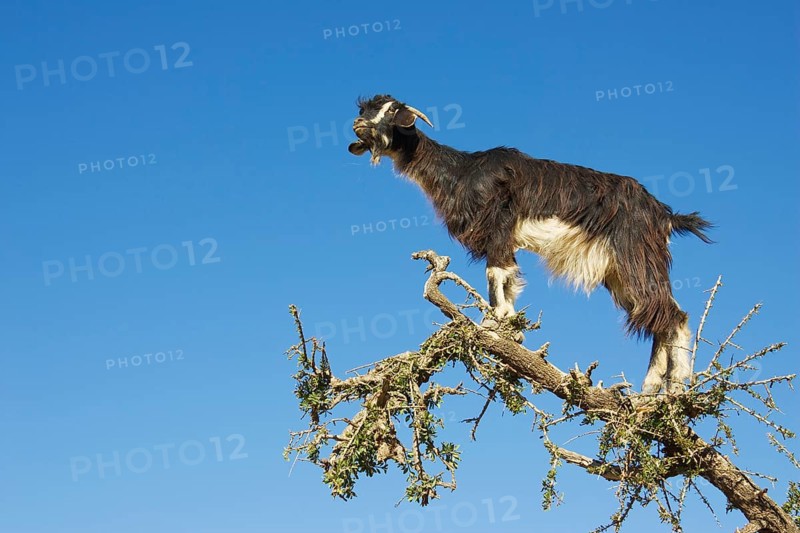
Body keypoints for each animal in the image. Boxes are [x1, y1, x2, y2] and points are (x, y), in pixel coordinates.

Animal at [348, 94, 713, 394]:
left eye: (392, 110)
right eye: (364, 109)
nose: (358, 125)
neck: (462, 172)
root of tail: (664, 215)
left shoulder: (498, 225)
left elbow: (496, 274)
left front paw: (495, 322)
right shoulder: (504, 238)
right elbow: (508, 279)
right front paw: (510, 326)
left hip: (635, 255)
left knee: (674, 316)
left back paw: (675, 387)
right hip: (619, 272)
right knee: (657, 316)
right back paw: (651, 389)